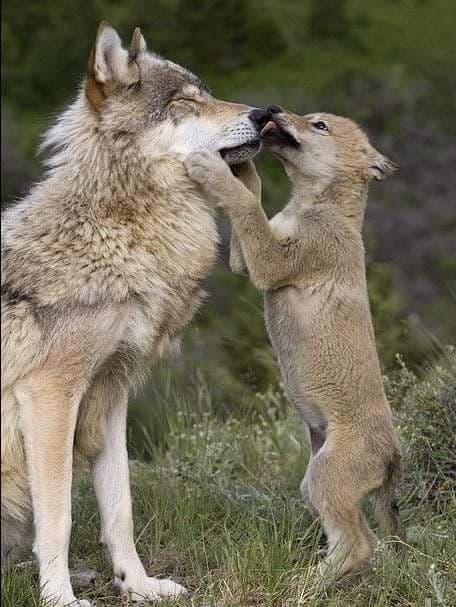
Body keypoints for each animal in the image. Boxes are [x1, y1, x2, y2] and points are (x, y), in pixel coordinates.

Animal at [0, 20, 268, 607]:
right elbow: (59, 516)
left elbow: (120, 506)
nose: (267, 113)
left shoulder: (112, 391)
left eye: (208, 92)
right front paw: (59, 597)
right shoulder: (50, 395)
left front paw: (138, 584)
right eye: (186, 103)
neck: (114, 233)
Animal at [183, 108, 404, 584]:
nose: (272, 111)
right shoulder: (247, 260)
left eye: (319, 125)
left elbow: (246, 205)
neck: (314, 205)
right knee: (355, 541)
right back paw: (314, 576)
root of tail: (394, 457)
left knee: (361, 543)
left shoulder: (271, 263)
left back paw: (308, 583)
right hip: (313, 482)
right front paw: (240, 162)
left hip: (326, 478)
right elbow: (251, 195)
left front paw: (212, 168)